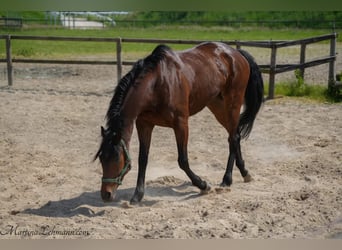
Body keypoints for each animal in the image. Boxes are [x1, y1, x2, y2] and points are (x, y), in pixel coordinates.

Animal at [95, 42, 264, 204]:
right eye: (102, 158)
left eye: (116, 158)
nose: (106, 194)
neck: (157, 84)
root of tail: (235, 53)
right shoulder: (144, 125)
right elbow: (143, 159)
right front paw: (138, 194)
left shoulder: (181, 124)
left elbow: (183, 160)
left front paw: (203, 185)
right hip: (217, 105)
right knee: (234, 136)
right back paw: (244, 172)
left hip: (233, 103)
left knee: (233, 137)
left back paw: (227, 179)